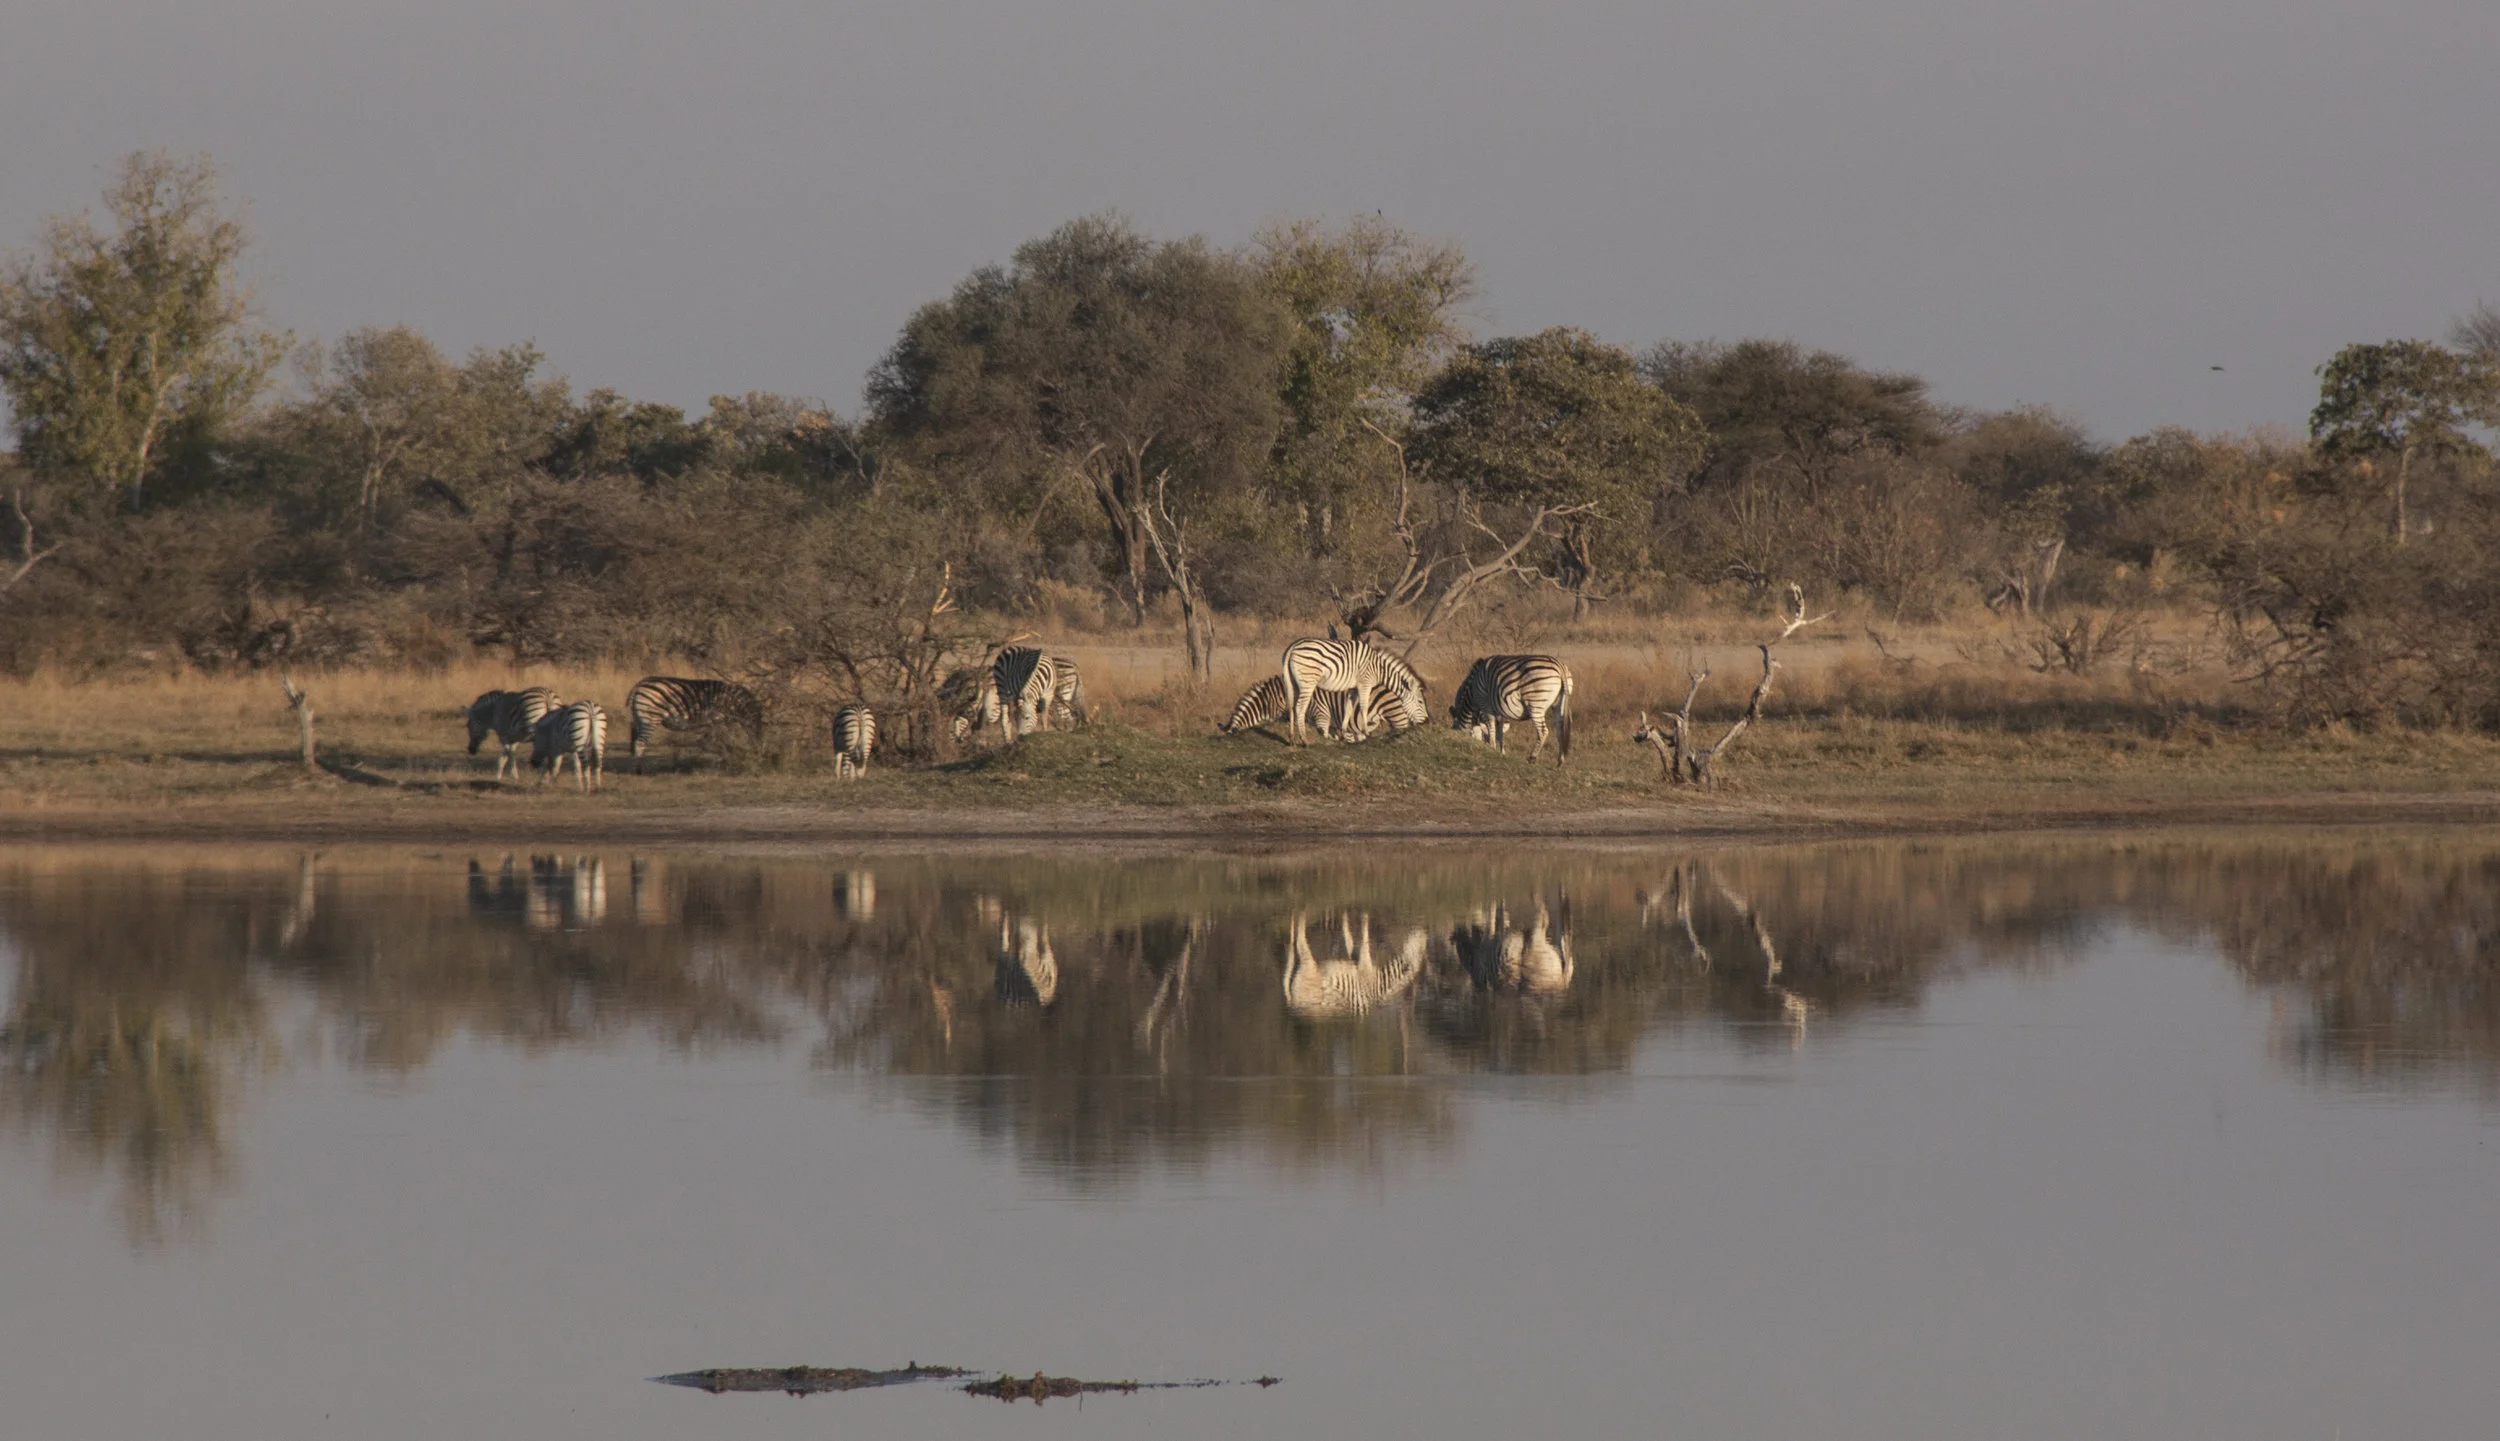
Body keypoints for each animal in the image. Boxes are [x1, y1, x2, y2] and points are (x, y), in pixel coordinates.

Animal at [625, 676, 764, 768]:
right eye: (758, 729)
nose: (760, 752)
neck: (731, 701)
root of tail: (638, 686)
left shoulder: (715, 722)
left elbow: (714, 740)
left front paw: (725, 755)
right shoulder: (717, 719)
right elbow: (722, 739)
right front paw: (726, 757)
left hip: (639, 718)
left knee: (636, 742)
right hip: (650, 717)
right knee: (640, 743)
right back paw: (639, 770)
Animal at [1278, 637, 1428, 745]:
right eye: (1420, 701)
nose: (1426, 721)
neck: (1379, 669)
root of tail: (1293, 646)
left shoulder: (1353, 688)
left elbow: (1348, 708)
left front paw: (1344, 733)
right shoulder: (1364, 683)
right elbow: (1364, 706)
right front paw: (1366, 731)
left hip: (1293, 682)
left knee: (1292, 706)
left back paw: (1291, 739)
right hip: (1308, 681)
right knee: (1300, 707)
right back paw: (1304, 740)